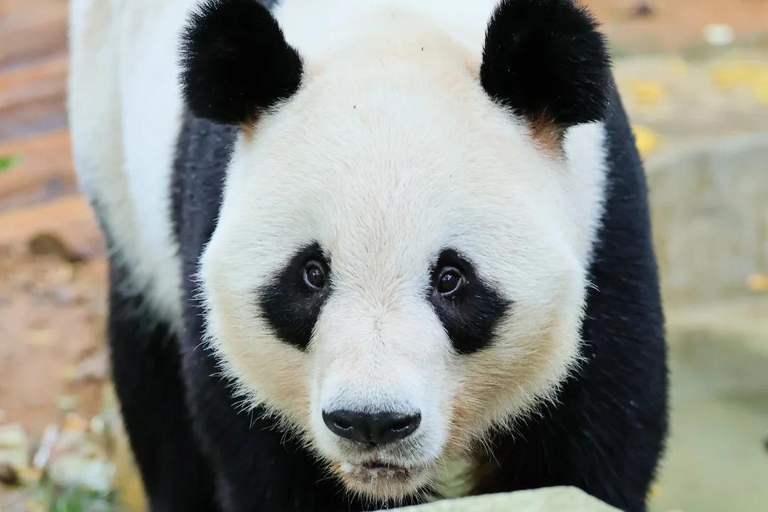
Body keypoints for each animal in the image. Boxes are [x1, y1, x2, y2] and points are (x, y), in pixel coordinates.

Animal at [68, 0, 668, 511]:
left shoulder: (606, 234)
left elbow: (595, 446)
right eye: (311, 274)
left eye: (451, 278)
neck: (392, 28)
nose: (371, 422)